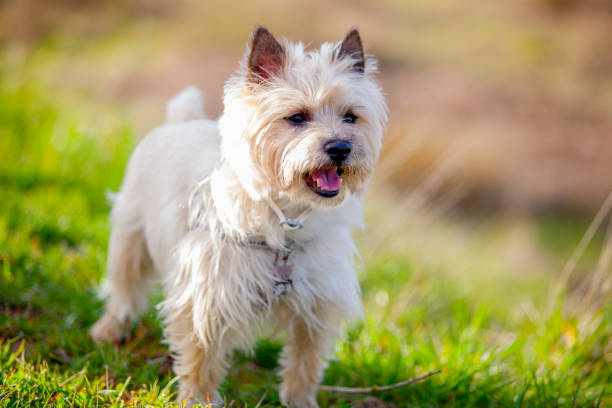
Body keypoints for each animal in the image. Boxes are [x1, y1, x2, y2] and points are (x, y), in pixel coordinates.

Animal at [89, 26, 388, 408]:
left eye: (351, 116)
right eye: (297, 117)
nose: (340, 148)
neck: (287, 221)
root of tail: (182, 119)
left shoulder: (317, 306)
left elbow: (304, 364)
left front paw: (300, 400)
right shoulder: (206, 298)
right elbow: (201, 359)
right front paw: (197, 400)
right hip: (130, 235)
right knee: (124, 288)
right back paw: (109, 329)